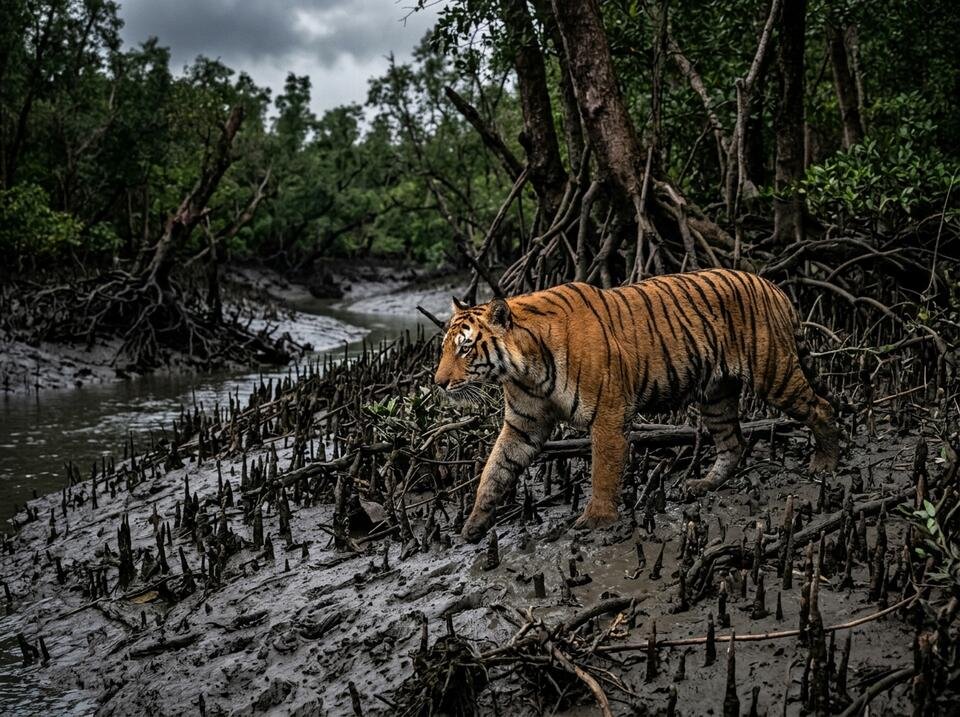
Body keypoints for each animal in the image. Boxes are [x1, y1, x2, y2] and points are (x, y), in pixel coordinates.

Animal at [433, 268, 841, 543]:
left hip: (773, 373)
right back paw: (702, 485)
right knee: (733, 444)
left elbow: (603, 470)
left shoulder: (608, 415)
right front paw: (473, 525)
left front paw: (596, 519)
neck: (524, 369)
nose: (438, 383)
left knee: (821, 407)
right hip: (716, 395)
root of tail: (772, 285)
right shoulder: (522, 424)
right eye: (444, 348)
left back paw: (826, 462)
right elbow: (495, 470)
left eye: (465, 348)